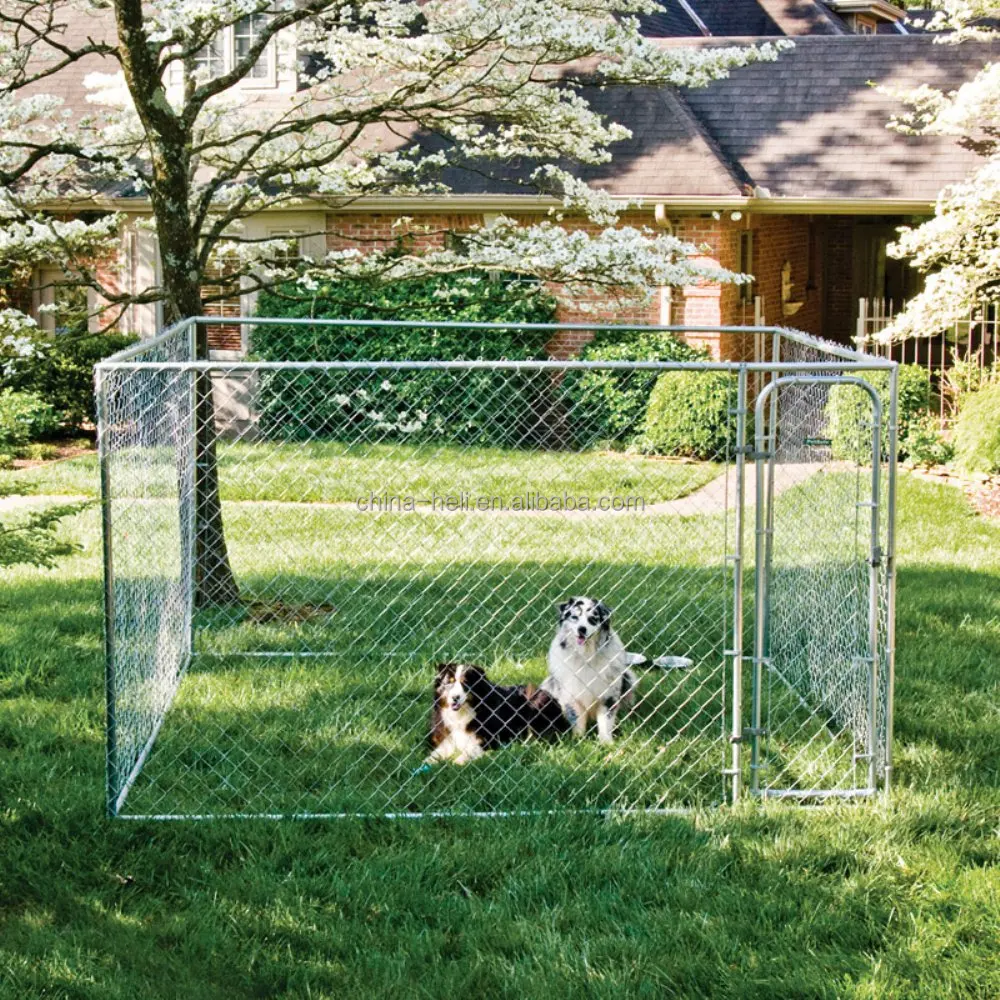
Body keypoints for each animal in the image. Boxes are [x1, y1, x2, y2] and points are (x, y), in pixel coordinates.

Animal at [424, 664, 572, 764]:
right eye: (448, 683)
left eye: (465, 683)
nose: (455, 697)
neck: (463, 712)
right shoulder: (448, 735)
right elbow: (438, 752)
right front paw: (429, 762)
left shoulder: (489, 737)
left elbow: (470, 750)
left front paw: (457, 762)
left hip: (536, 700)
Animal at [544, 592, 636, 744]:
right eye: (574, 617)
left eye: (593, 619)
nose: (582, 629)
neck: (586, 655)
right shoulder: (572, 694)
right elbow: (577, 719)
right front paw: (578, 739)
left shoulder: (609, 695)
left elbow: (605, 721)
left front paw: (606, 743)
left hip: (628, 678)